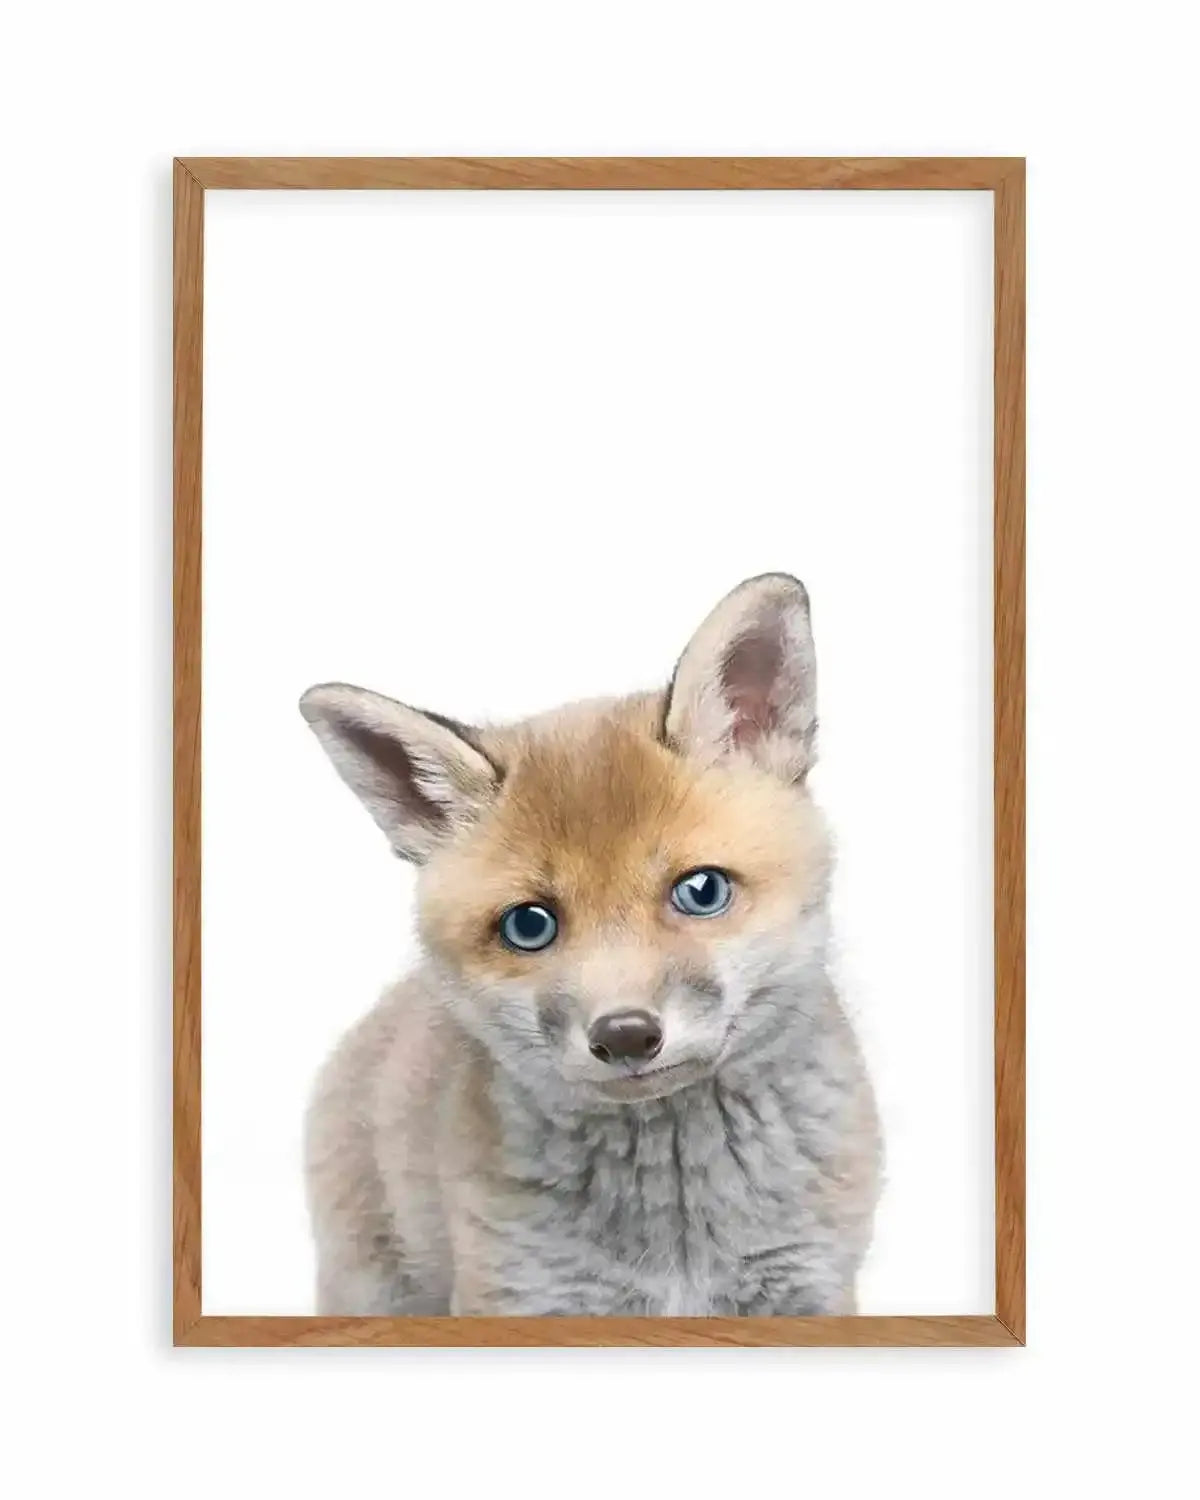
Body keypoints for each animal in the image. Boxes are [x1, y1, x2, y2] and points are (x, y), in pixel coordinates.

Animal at [299, 573, 882, 1317]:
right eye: (530, 925)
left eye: (701, 891)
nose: (626, 1035)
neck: (679, 1233)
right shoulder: (523, 1293)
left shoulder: (807, 1282)